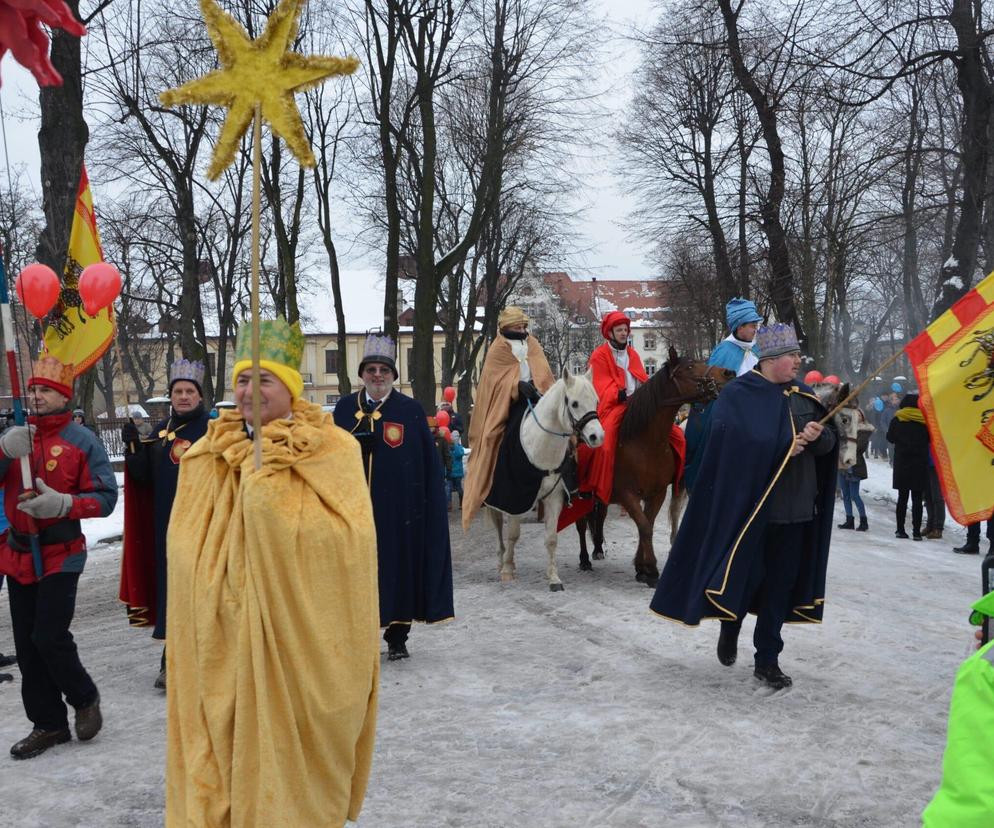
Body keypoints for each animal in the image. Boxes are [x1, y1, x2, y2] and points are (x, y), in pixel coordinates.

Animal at [482, 368, 600, 588]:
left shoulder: (554, 498)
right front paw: (507, 570)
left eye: (596, 401)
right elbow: (513, 535)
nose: (598, 436)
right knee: (498, 527)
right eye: (574, 403)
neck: (539, 446)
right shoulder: (515, 498)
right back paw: (501, 560)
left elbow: (551, 538)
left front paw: (553, 578)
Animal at [572, 346, 728, 584]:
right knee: (581, 524)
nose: (727, 373)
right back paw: (584, 559)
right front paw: (651, 570)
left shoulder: (656, 492)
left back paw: (597, 548)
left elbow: (647, 524)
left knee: (600, 516)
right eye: (690, 367)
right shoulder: (627, 494)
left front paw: (641, 566)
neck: (645, 443)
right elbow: (645, 526)